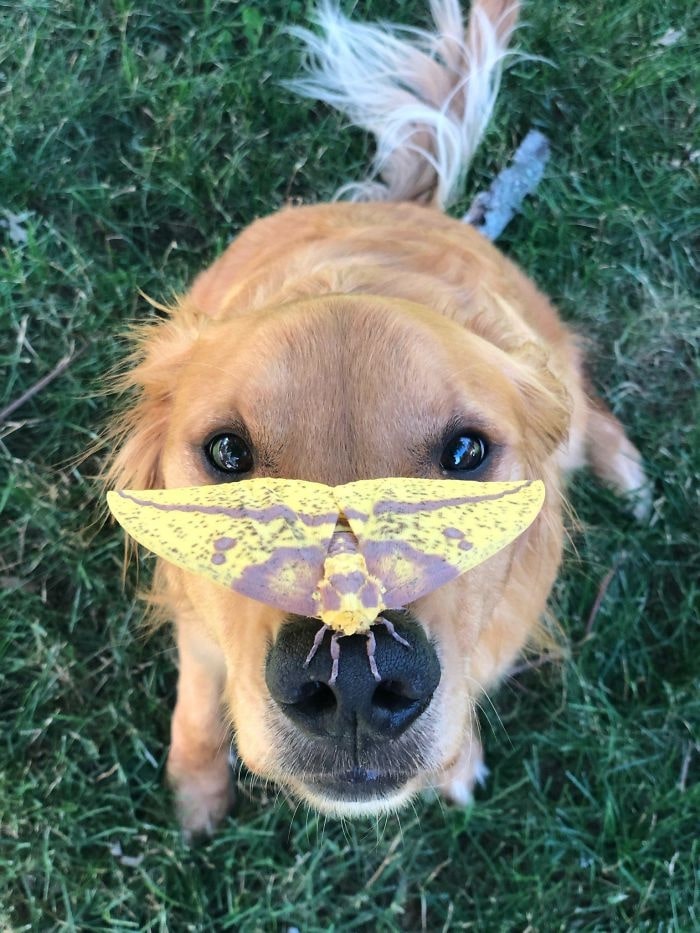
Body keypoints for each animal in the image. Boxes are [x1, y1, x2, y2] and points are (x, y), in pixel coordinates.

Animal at [106, 0, 648, 832]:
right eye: (227, 453)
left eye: (466, 452)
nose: (355, 679)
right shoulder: (193, 614)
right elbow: (196, 702)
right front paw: (195, 789)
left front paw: (456, 763)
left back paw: (625, 467)